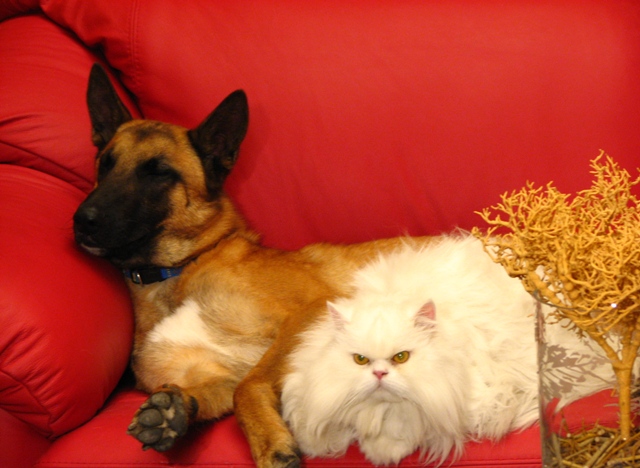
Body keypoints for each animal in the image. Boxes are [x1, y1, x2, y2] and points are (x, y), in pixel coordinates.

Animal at [73, 64, 423, 467]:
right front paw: (173, 412)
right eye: (105, 164)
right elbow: (218, 390)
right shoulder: (217, 376)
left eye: (159, 173)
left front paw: (269, 443)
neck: (178, 270)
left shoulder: (310, 312)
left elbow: (249, 385)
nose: (82, 220)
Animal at [280, 234, 544, 465]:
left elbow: (408, 425)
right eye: (361, 360)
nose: (379, 374)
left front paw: (381, 451)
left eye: (401, 357)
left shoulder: (476, 398)